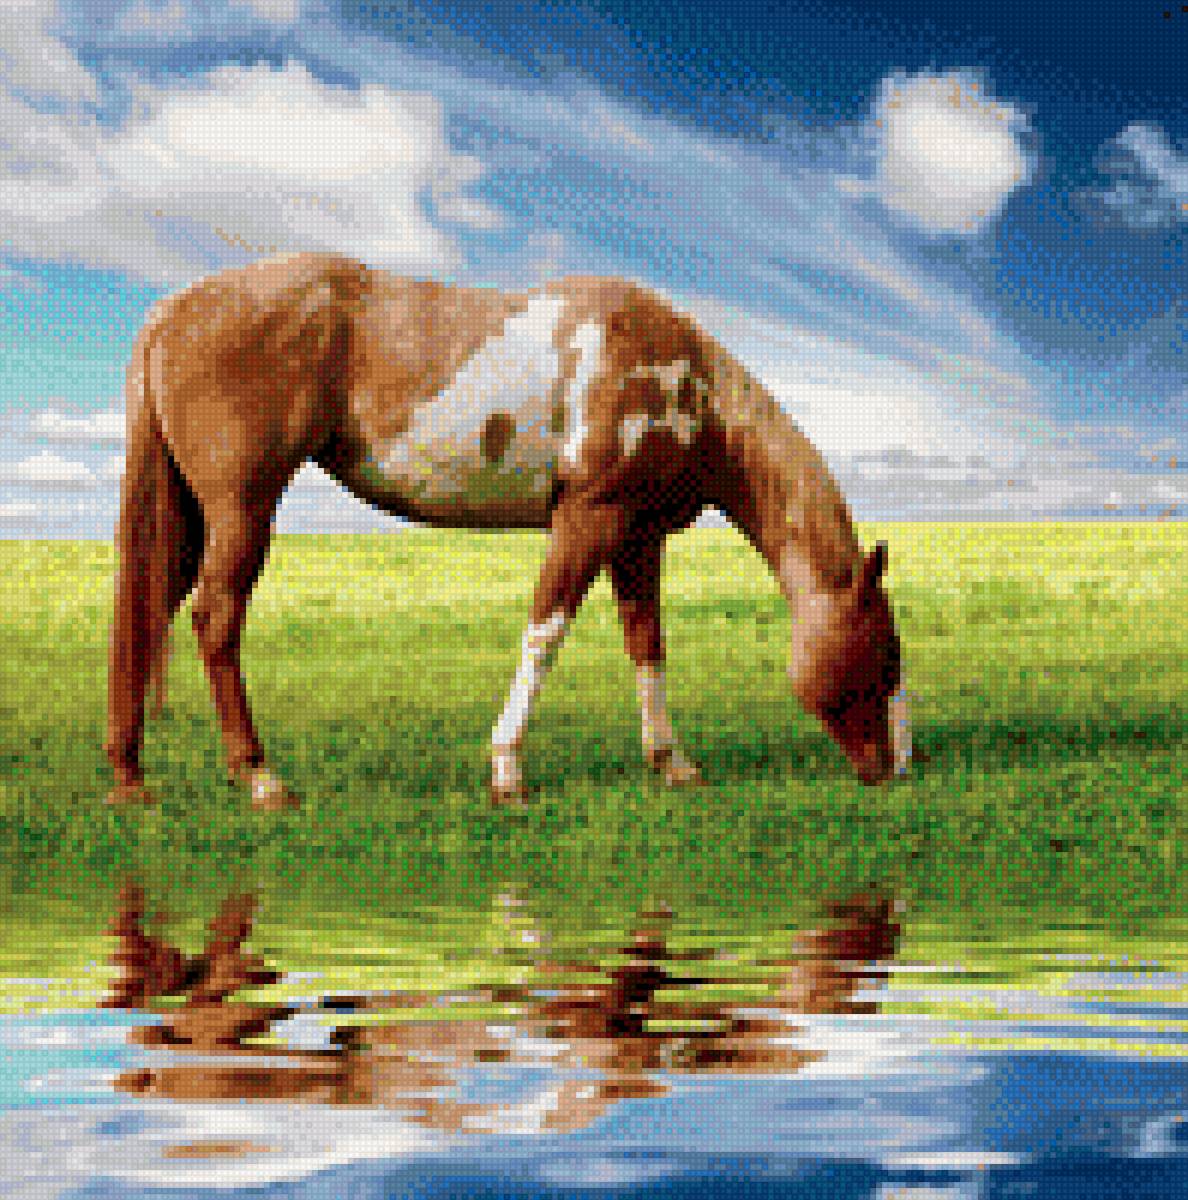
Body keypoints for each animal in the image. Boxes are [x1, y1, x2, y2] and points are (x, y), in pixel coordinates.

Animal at [105, 252, 910, 810]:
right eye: (885, 653)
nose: (897, 768)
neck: (686, 384)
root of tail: (173, 309)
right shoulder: (589, 518)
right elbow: (545, 634)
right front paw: (507, 771)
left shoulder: (635, 538)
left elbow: (647, 646)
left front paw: (672, 763)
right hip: (242, 509)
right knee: (215, 620)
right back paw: (262, 779)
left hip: (189, 516)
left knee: (148, 615)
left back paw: (130, 777)